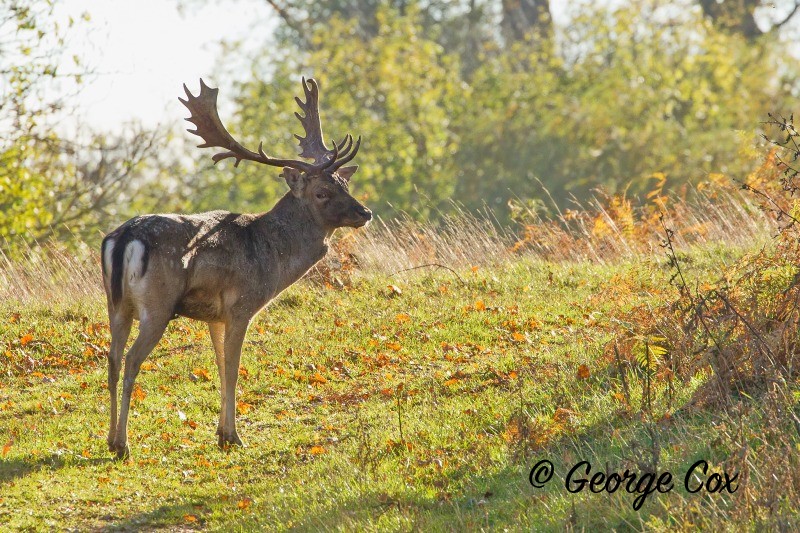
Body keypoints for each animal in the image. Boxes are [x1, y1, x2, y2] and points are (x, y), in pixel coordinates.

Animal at [100, 78, 372, 459]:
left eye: (345, 184)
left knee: (111, 358)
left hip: (116, 304)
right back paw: (123, 444)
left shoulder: (215, 316)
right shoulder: (241, 305)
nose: (365, 213)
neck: (274, 256)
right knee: (131, 360)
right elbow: (233, 368)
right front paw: (234, 436)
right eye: (321, 192)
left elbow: (219, 366)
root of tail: (125, 237)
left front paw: (221, 432)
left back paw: (110, 437)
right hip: (158, 304)